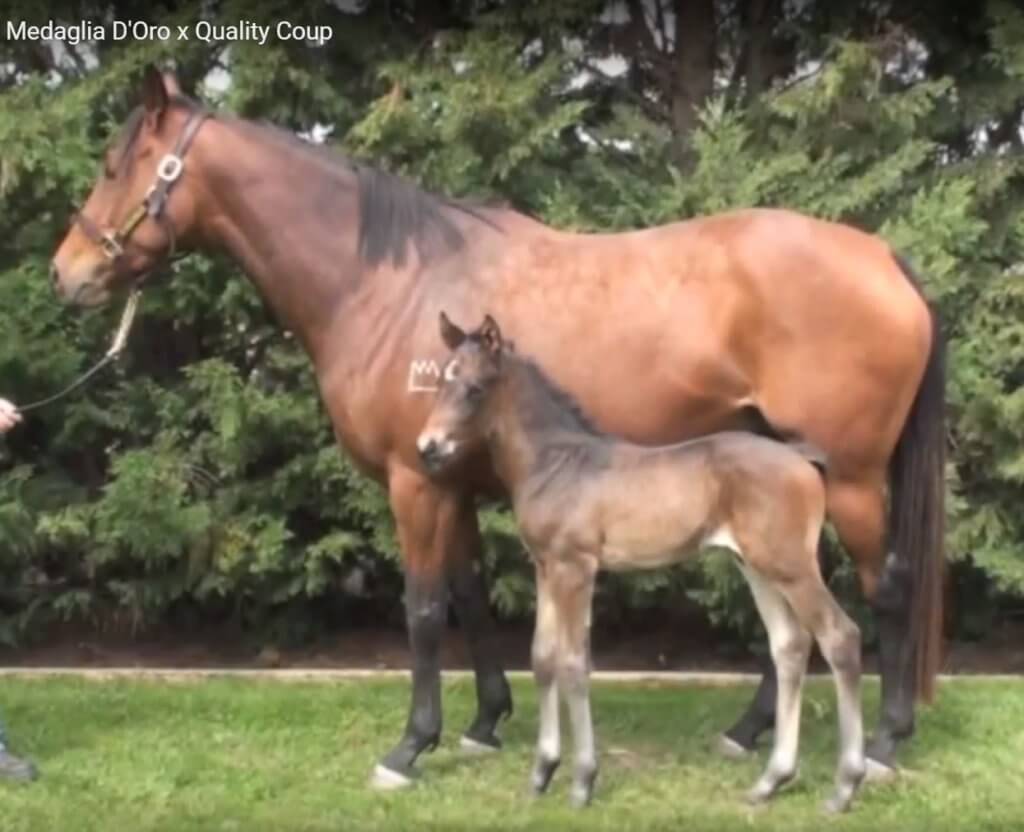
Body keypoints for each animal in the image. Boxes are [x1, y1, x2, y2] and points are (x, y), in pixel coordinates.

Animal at [417, 312, 866, 812]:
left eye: (475, 388)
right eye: (440, 381)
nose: (427, 446)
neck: (556, 460)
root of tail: (803, 460)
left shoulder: (576, 567)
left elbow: (573, 662)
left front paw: (582, 781)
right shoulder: (546, 566)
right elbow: (543, 658)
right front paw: (541, 774)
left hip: (791, 565)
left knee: (840, 636)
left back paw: (844, 787)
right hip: (757, 566)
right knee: (789, 645)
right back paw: (770, 781)